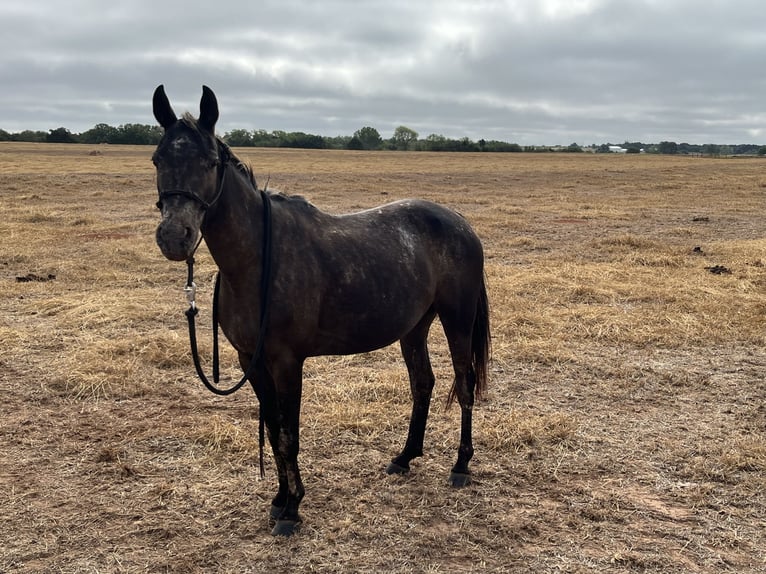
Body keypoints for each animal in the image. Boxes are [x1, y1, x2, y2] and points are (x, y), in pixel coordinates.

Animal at [152, 85, 492, 540]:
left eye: (209, 162)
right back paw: (404, 458)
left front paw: (293, 509)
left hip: (457, 319)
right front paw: (279, 499)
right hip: (414, 327)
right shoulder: (250, 360)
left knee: (465, 383)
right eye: (158, 159)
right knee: (423, 383)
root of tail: (459, 222)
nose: (175, 237)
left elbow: (289, 434)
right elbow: (273, 429)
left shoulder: (286, 362)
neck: (259, 260)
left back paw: (460, 466)